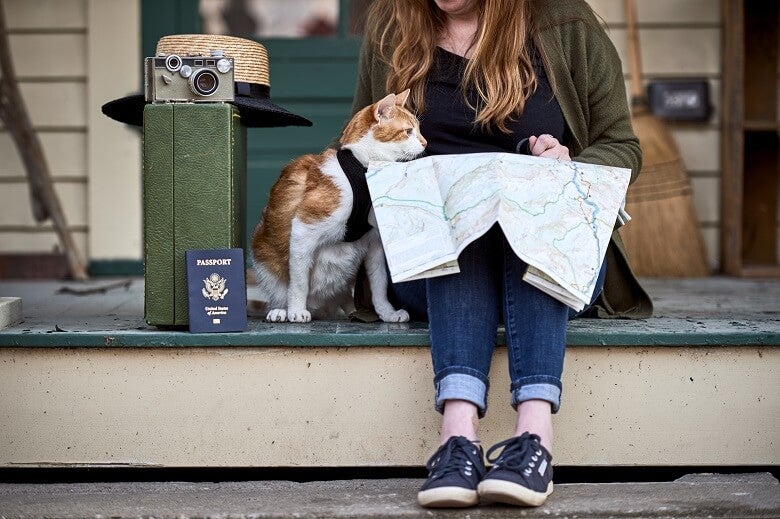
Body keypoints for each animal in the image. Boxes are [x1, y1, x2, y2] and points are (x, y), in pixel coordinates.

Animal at [251, 91, 426, 322]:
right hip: (263, 253)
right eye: (408, 131)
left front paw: (387, 313)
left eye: (419, 129)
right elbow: (298, 283)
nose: (425, 143)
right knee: (281, 290)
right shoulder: (303, 230)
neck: (362, 169)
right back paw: (282, 311)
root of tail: (320, 305)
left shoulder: (375, 244)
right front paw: (296, 310)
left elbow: (379, 285)